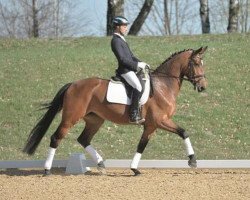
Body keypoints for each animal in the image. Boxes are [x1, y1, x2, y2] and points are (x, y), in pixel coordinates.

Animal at [23, 46, 207, 175]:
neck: (163, 86)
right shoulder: (159, 121)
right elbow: (182, 132)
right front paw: (192, 160)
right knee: (56, 138)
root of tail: (73, 84)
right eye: (196, 63)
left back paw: (101, 164)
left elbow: (143, 145)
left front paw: (134, 169)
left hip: (95, 120)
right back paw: (47, 170)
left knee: (84, 139)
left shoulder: (151, 125)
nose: (203, 87)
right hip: (70, 118)